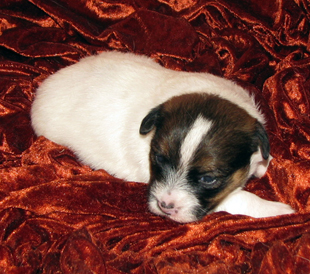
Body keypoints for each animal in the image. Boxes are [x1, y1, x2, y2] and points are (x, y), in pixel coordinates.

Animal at [31, 50, 296, 223]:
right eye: (158, 159)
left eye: (208, 179)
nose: (164, 206)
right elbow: (239, 197)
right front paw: (279, 211)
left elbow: (263, 158)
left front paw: (264, 165)